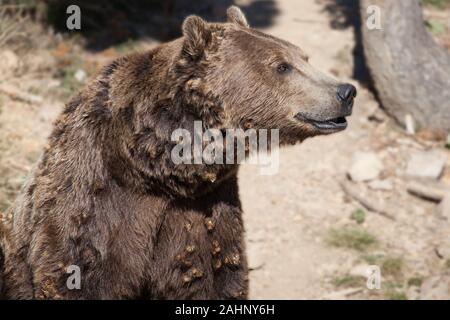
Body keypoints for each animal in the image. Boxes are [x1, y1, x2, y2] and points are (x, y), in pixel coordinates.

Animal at [0, 6, 356, 298]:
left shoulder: (204, 212)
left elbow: (214, 277)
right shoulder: (93, 201)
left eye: (304, 57)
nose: (346, 91)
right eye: (282, 66)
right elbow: (77, 272)